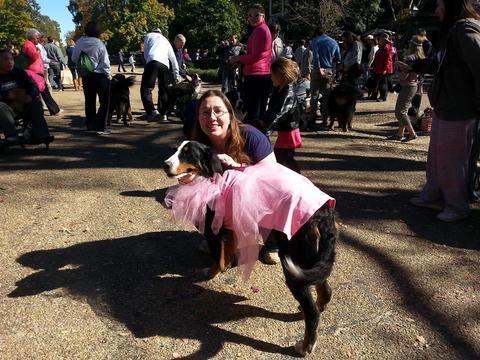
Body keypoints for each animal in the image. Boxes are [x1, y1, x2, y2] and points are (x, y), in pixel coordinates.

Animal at [165, 141, 338, 358]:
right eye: (176, 149)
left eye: (187, 154)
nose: (165, 164)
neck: (211, 176)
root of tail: (323, 213)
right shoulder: (230, 224)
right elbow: (227, 250)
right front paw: (226, 264)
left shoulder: (213, 229)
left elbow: (217, 257)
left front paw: (210, 273)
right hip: (309, 261)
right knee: (325, 290)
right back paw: (314, 307)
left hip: (293, 262)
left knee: (312, 312)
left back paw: (306, 346)